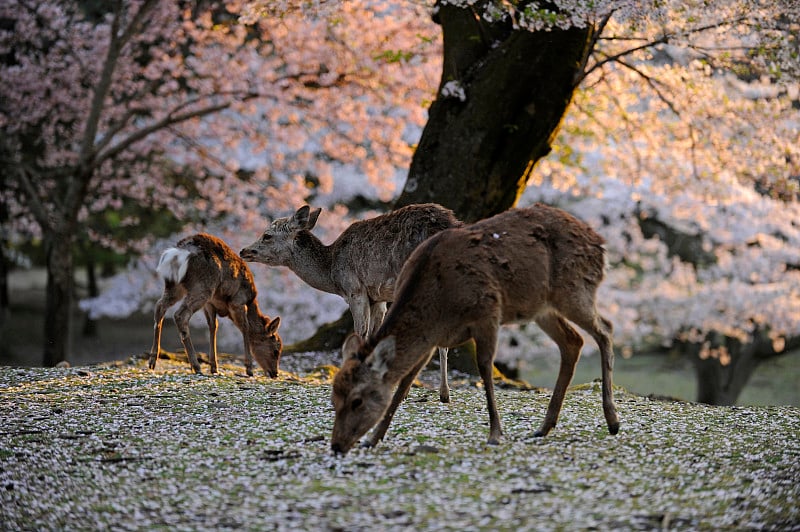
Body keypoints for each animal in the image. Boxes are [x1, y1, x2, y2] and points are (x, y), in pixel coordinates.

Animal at [148, 234, 282, 378]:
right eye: (276, 350)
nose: (275, 373)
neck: (251, 301)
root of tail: (179, 253)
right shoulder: (238, 301)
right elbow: (245, 327)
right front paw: (249, 369)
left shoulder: (210, 304)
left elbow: (213, 327)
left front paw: (214, 367)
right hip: (202, 287)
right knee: (180, 315)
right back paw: (196, 366)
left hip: (174, 285)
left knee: (159, 306)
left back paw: (152, 361)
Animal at [241, 202, 460, 402]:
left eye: (267, 235)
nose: (244, 251)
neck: (332, 272)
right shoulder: (377, 298)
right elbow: (374, 335)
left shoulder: (355, 289)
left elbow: (360, 333)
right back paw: (443, 394)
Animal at [328, 203, 620, 454]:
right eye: (334, 398)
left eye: (357, 400)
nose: (337, 445)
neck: (438, 304)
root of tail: (600, 244)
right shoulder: (432, 336)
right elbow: (405, 382)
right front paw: (374, 438)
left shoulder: (487, 313)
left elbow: (484, 368)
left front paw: (495, 434)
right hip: (542, 308)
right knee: (573, 342)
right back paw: (544, 427)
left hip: (573, 289)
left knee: (605, 329)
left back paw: (612, 420)